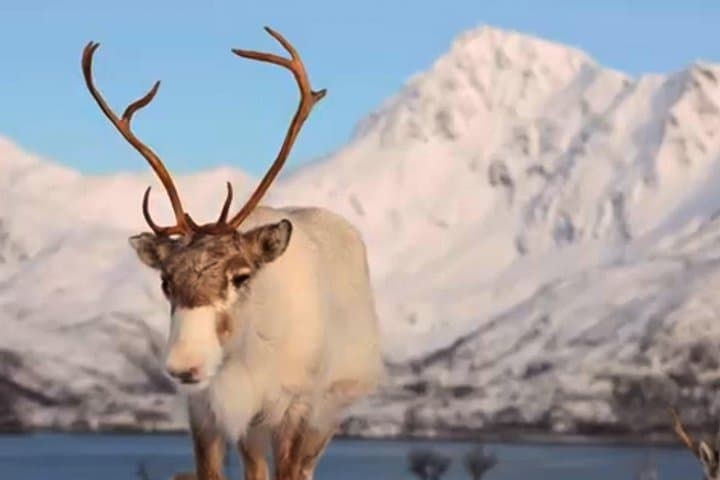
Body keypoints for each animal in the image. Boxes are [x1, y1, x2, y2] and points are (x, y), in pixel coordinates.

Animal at [81, 27, 383, 480]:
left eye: (240, 276)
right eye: (165, 281)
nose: (185, 365)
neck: (244, 359)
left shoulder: (294, 408)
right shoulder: (208, 412)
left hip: (329, 410)